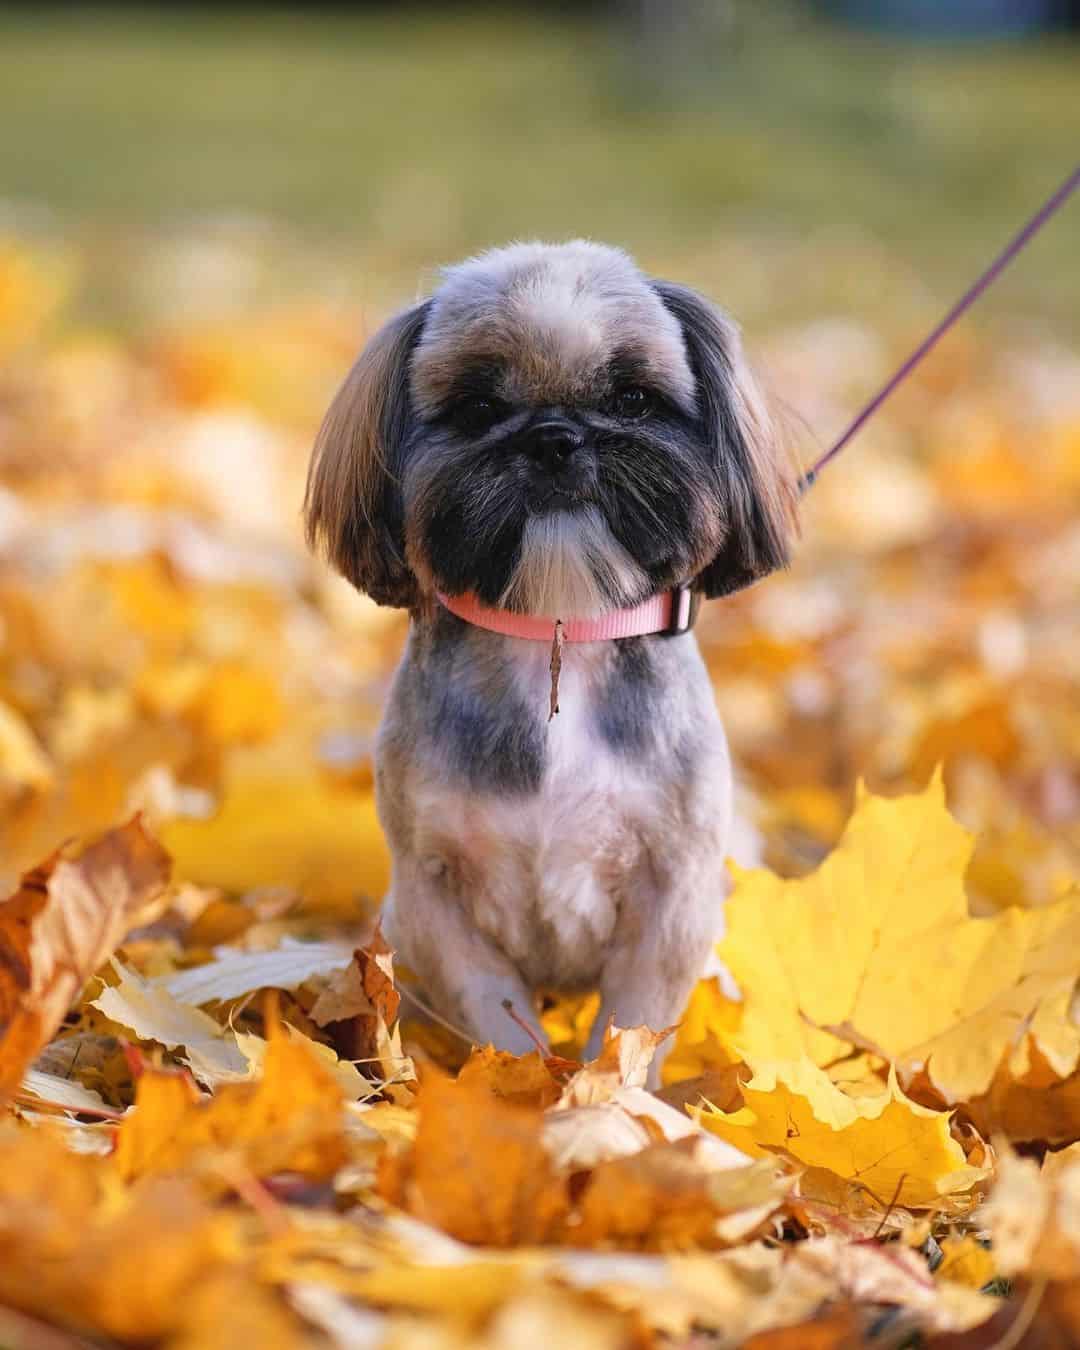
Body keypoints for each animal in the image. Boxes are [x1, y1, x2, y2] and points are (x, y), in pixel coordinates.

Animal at [307, 240, 799, 1063]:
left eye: (631, 399)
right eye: (477, 409)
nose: (554, 439)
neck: (557, 634)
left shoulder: (673, 897)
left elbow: (629, 1024)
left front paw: (612, 1094)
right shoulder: (432, 899)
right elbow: (499, 1019)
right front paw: (524, 1086)